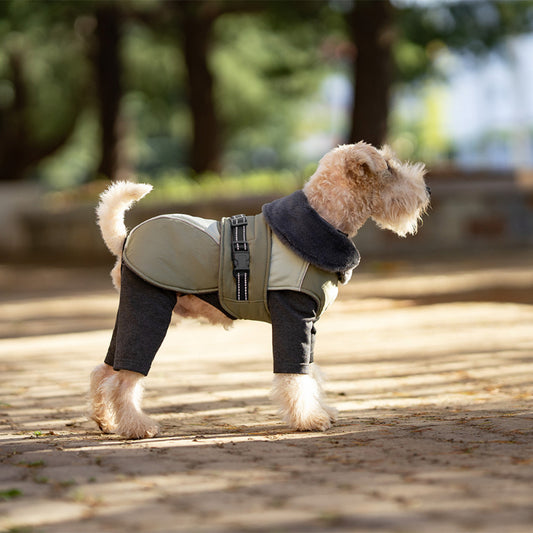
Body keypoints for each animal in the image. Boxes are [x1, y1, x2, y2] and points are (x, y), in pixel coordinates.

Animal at [87, 140, 428, 436]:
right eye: (390, 167)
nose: (424, 192)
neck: (324, 217)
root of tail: (124, 239)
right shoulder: (294, 317)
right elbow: (294, 375)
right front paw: (309, 419)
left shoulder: (310, 325)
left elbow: (310, 372)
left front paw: (322, 410)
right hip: (149, 311)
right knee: (125, 378)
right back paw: (137, 426)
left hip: (130, 313)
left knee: (106, 370)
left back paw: (106, 421)